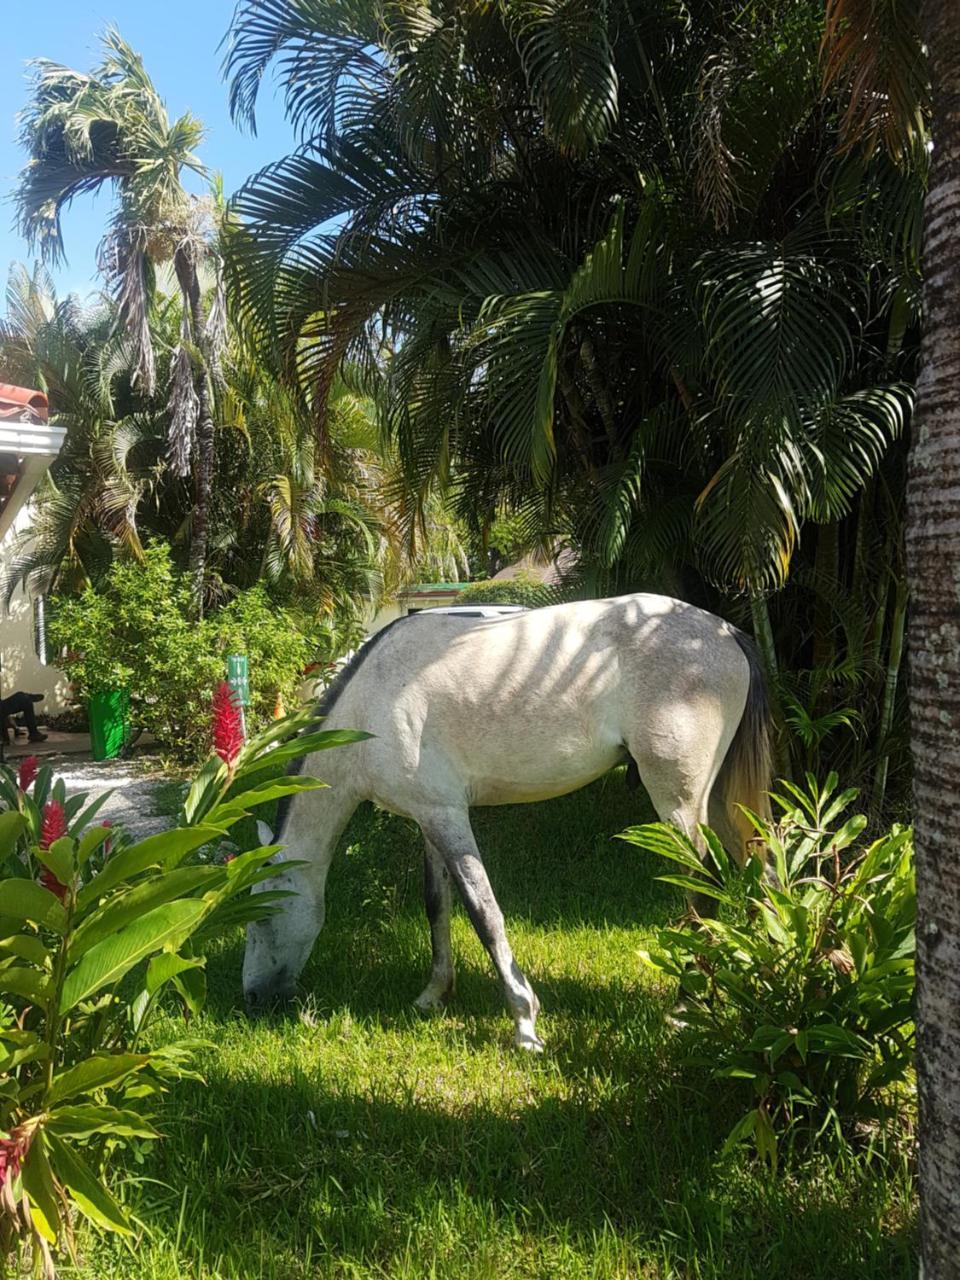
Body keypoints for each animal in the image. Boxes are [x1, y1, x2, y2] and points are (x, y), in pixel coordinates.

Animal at [241, 593, 773, 1044]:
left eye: (261, 916)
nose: (252, 997)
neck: (371, 705)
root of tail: (726, 632)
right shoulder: (430, 816)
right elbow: (437, 904)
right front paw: (434, 994)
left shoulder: (449, 818)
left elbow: (483, 912)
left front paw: (524, 1020)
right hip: (720, 800)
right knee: (763, 869)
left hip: (679, 802)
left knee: (704, 888)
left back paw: (685, 1007)